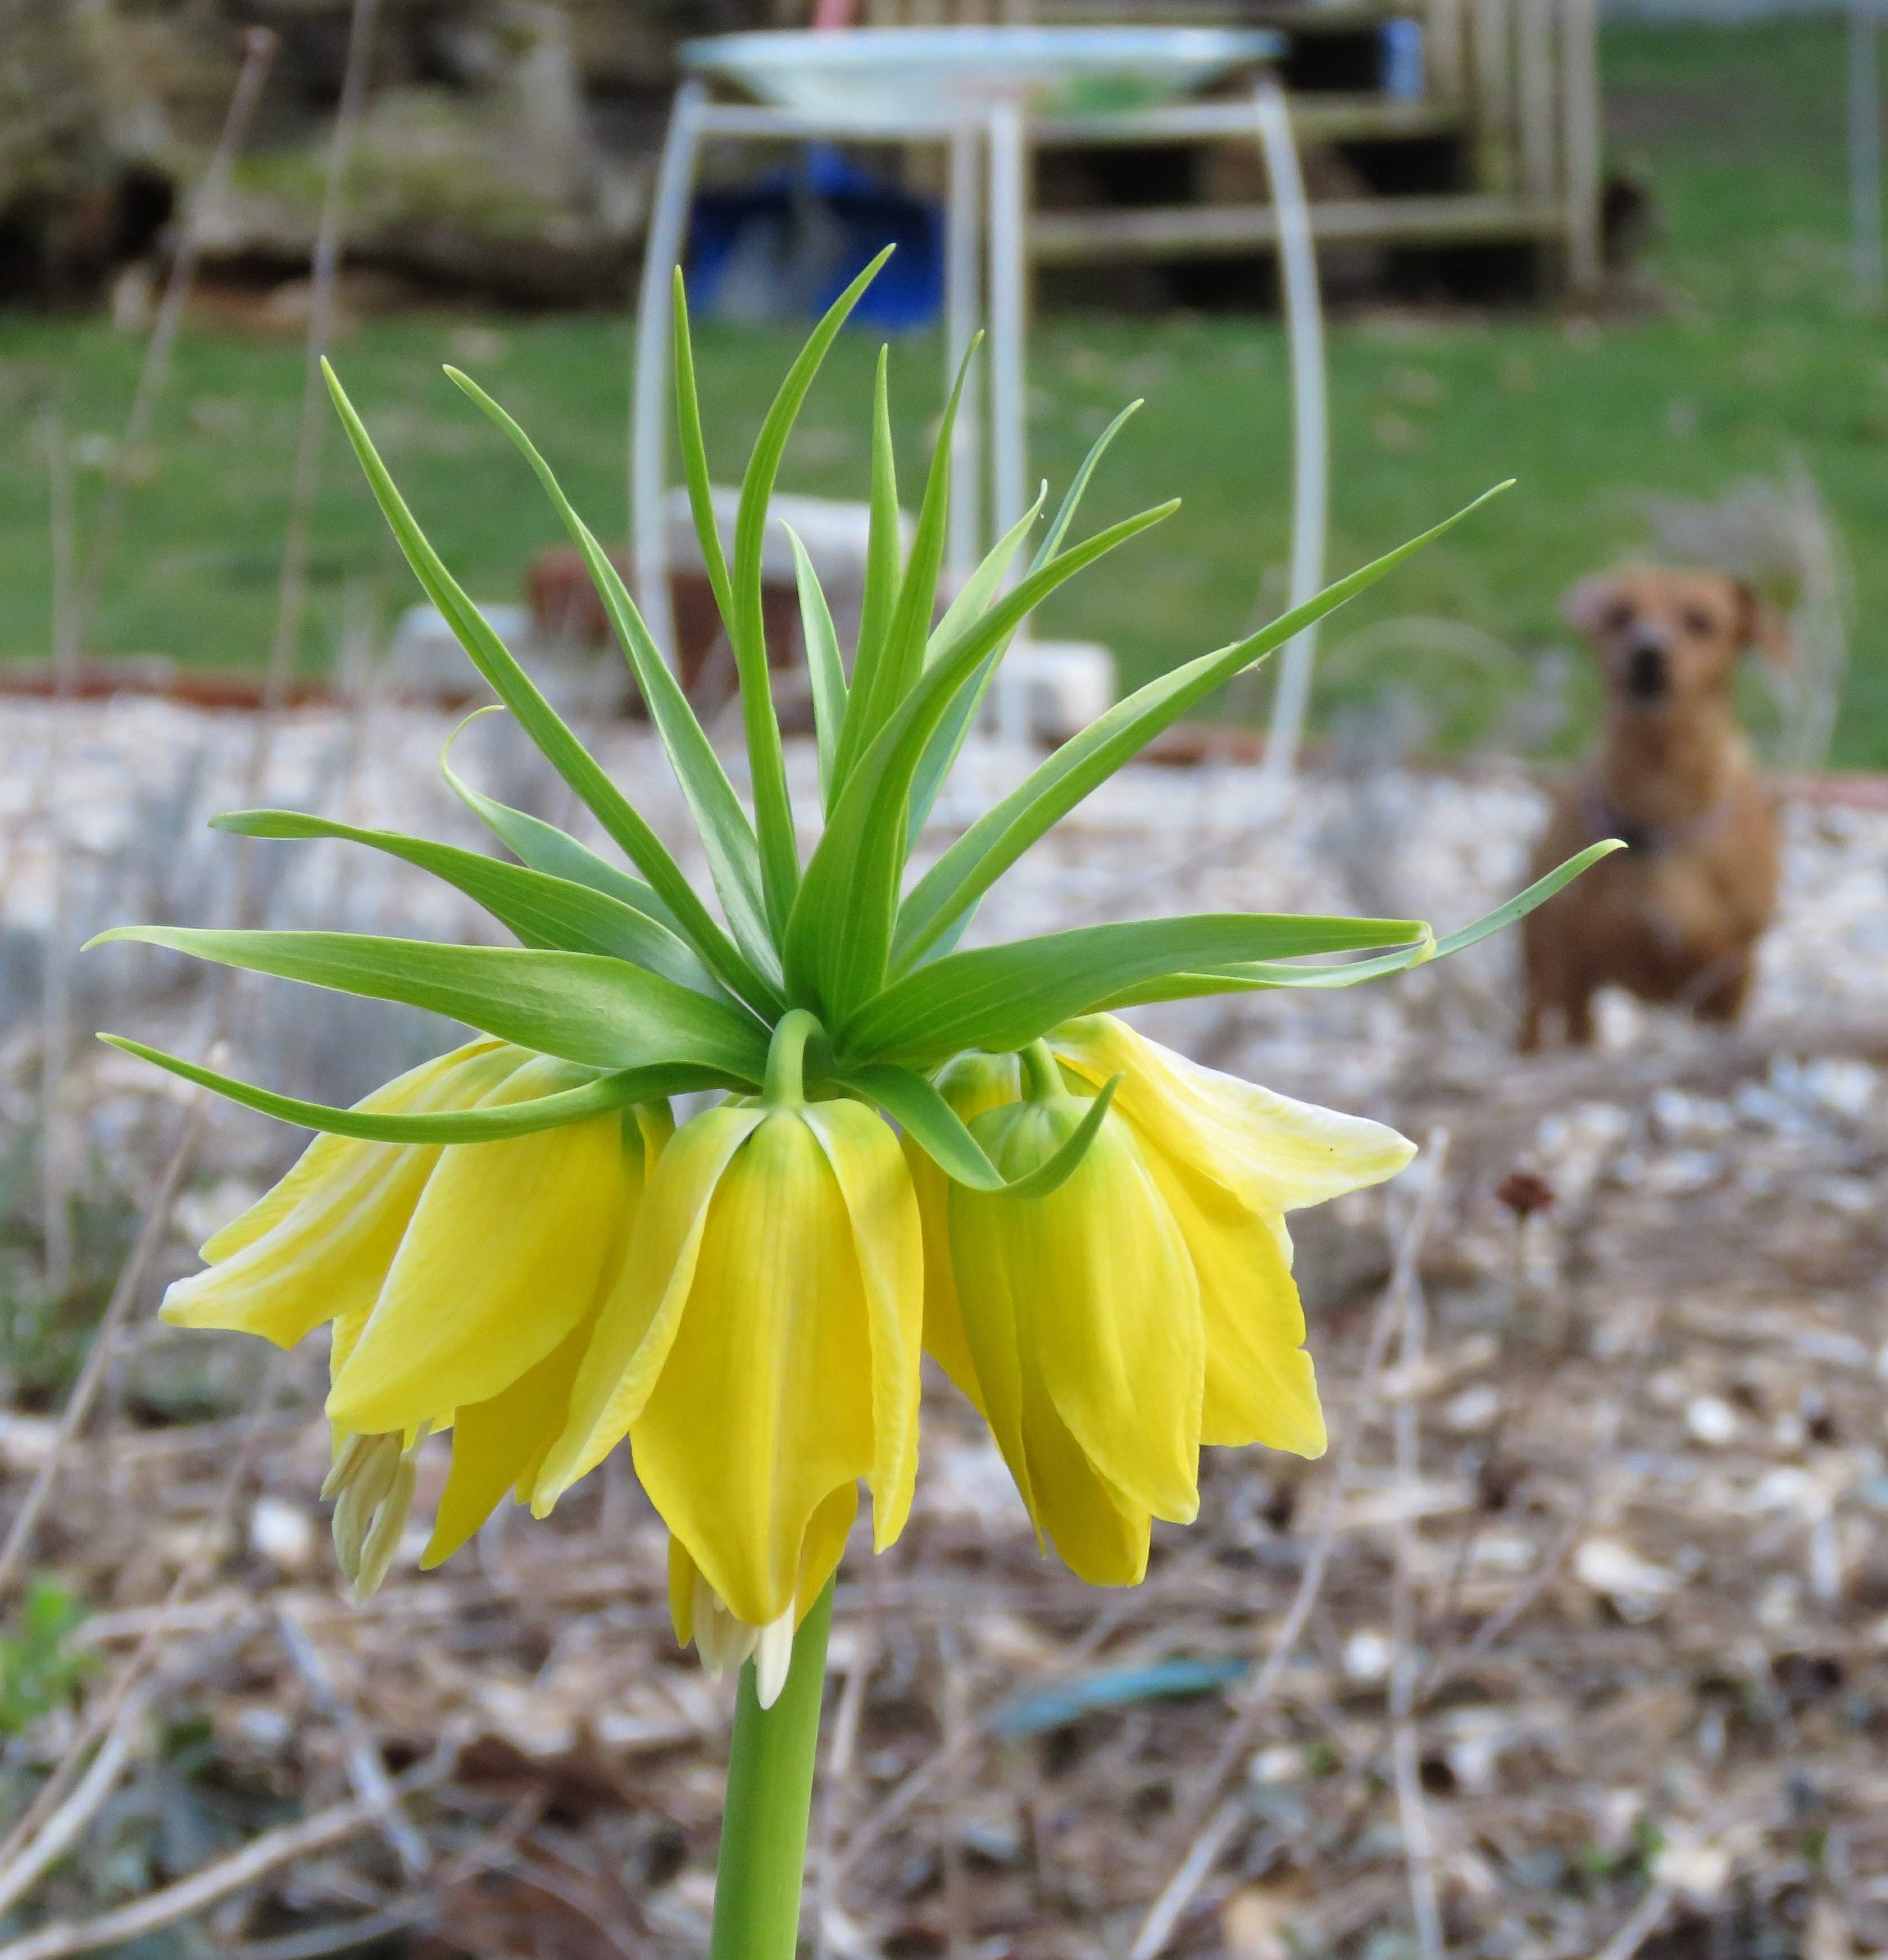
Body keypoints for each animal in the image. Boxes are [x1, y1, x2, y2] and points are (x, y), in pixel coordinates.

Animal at [1513, 568, 1795, 1050]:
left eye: (1700, 622)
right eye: (1620, 614)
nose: (1648, 649)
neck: (1659, 800)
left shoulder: (1727, 978)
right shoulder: (1575, 973)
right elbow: (1577, 1034)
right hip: (1540, 963)